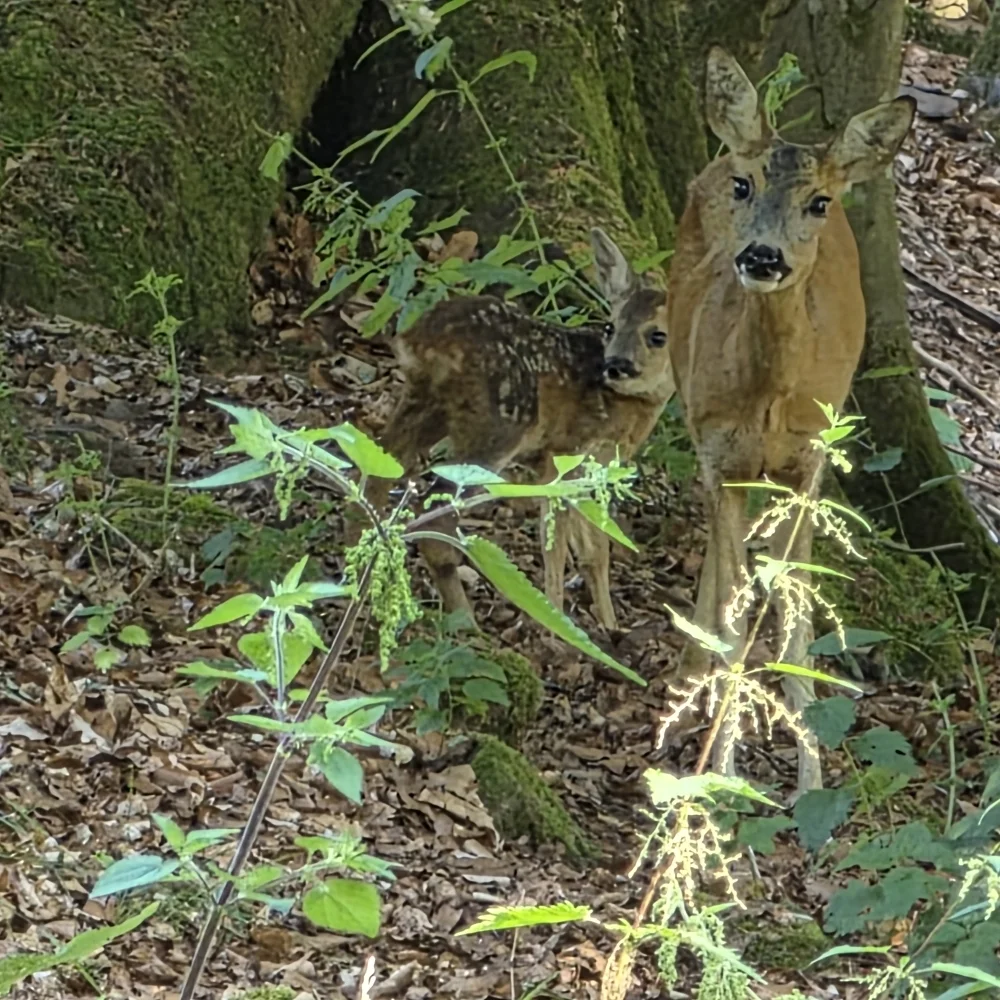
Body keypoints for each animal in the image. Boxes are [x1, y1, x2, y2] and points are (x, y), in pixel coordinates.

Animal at [361, 228, 675, 631]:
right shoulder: (564, 453)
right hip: (499, 425)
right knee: (435, 511)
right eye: (611, 326)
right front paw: (555, 622)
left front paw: (608, 625)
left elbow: (595, 548)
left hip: (427, 403)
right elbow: (555, 542)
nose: (616, 365)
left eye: (657, 336)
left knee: (377, 469)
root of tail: (424, 339)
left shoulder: (586, 467)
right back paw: (466, 622)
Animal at [667, 47, 915, 794]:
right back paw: (693, 678)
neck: (772, 399)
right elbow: (738, 608)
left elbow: (796, 614)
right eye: (745, 187)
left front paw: (809, 779)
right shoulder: (721, 452)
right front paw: (722, 770)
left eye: (818, 202)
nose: (762, 256)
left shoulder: (810, 463)